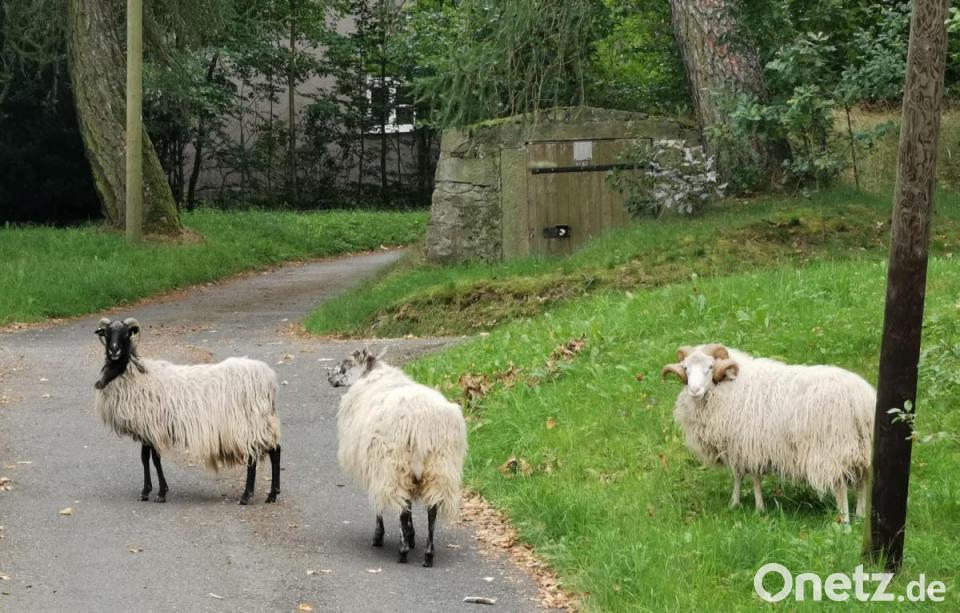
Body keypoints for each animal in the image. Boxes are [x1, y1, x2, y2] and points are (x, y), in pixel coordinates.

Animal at [93, 317, 281, 505]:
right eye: (107, 333)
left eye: (126, 333)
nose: (114, 351)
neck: (134, 374)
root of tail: (269, 377)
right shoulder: (146, 429)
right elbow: (145, 458)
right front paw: (146, 491)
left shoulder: (154, 427)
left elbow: (155, 459)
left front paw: (161, 493)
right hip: (260, 421)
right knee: (274, 450)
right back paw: (272, 494)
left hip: (248, 423)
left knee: (256, 455)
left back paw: (247, 495)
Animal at [328, 347, 467, 567]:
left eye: (346, 363)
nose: (328, 376)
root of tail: (421, 424)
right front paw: (412, 537)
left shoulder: (375, 469)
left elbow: (380, 508)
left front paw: (381, 536)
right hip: (440, 467)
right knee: (432, 510)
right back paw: (428, 554)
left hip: (394, 466)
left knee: (401, 508)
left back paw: (402, 551)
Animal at [661, 343, 876, 523]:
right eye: (686, 368)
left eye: (710, 367)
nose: (694, 390)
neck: (729, 385)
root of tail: (862, 401)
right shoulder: (740, 447)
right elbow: (739, 476)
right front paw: (735, 503)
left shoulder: (748, 445)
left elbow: (752, 478)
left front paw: (756, 508)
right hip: (862, 448)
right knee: (863, 482)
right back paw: (860, 515)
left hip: (833, 449)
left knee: (841, 486)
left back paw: (844, 522)